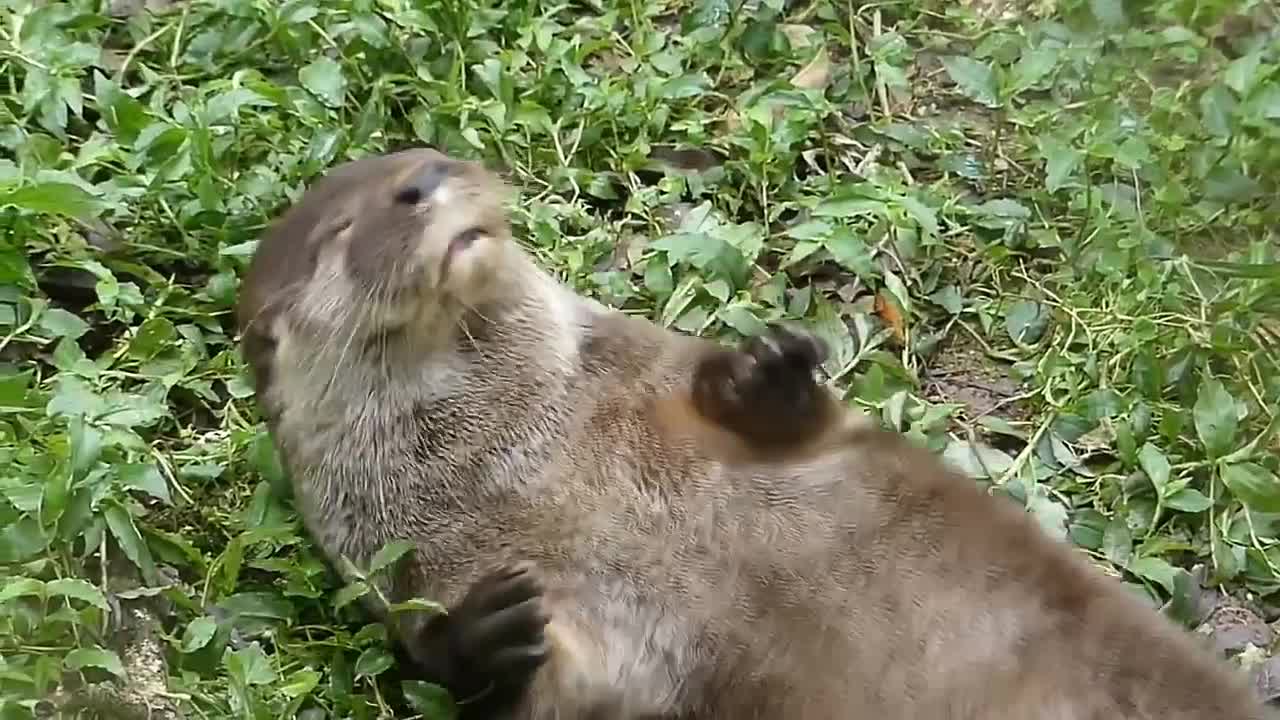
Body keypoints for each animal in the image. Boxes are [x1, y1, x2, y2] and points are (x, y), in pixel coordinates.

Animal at [238, 147, 1269, 717]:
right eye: (341, 229)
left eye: (432, 154)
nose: (427, 179)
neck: (524, 452)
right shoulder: (412, 575)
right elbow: (506, 679)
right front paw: (486, 635)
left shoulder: (646, 378)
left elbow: (804, 426)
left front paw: (767, 370)